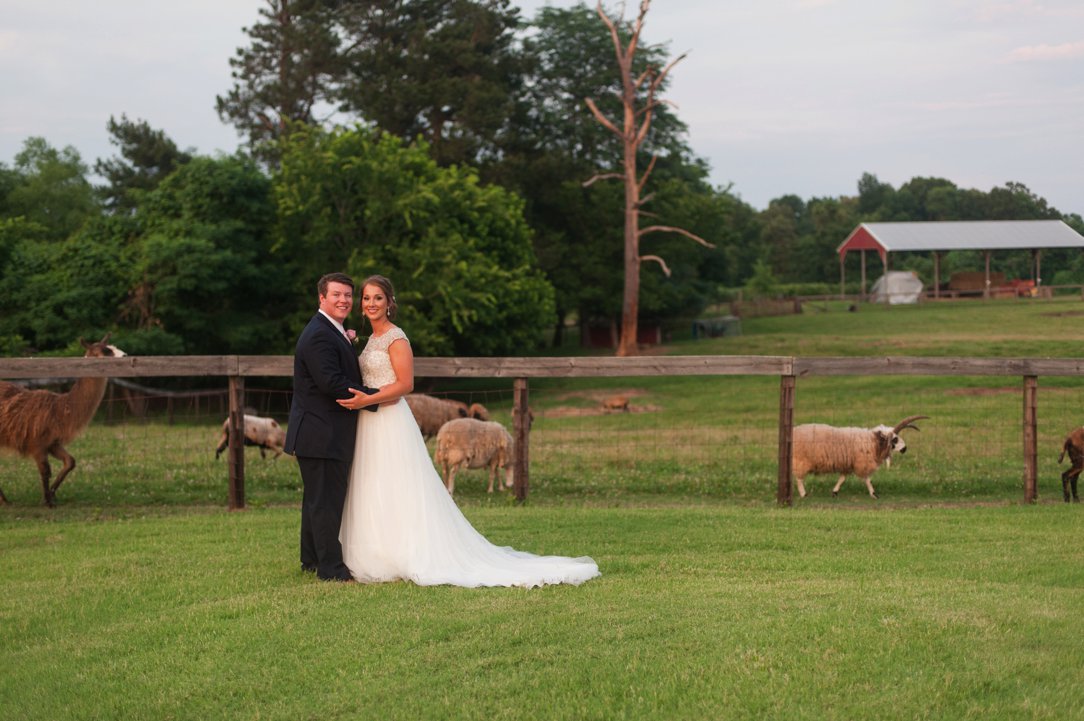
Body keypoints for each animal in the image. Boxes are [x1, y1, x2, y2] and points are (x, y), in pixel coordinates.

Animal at [0, 333, 124, 505]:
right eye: (106, 351)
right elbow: (45, 470)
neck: (59, 410)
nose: (124, 356)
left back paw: (5, 500)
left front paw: (51, 493)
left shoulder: (53, 442)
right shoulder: (36, 442)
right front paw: (47, 501)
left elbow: (70, 462)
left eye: (112, 347)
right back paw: (5, 500)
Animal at [793, 414, 927, 498]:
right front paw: (874, 494)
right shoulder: (862, 462)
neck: (872, 442)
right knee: (799, 478)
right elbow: (867, 478)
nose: (905, 449)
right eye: (895, 439)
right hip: (801, 460)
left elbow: (842, 478)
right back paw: (803, 494)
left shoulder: (848, 463)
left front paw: (834, 492)